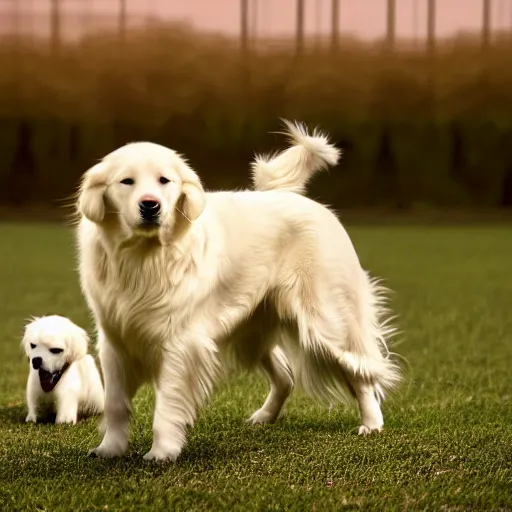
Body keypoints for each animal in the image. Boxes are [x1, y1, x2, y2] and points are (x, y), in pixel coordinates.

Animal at [78, 121, 402, 464]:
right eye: (126, 181)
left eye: (164, 180)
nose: (150, 205)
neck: (143, 256)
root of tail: (292, 195)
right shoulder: (115, 342)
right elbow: (115, 404)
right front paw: (110, 449)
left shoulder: (180, 344)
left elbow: (166, 406)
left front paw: (162, 452)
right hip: (253, 332)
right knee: (286, 376)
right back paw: (264, 417)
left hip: (326, 323)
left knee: (362, 372)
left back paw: (371, 423)